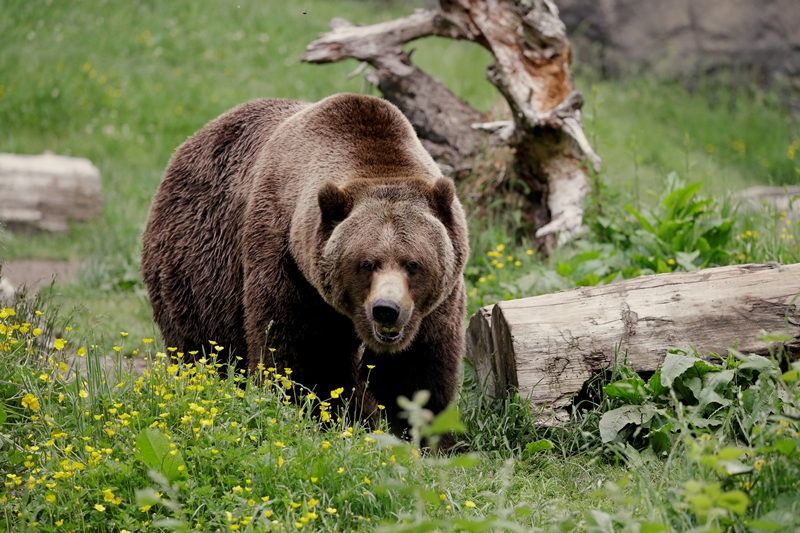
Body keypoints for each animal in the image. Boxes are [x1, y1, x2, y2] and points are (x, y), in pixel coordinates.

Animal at [141, 93, 472, 426]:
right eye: (366, 263)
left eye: (413, 264)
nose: (386, 310)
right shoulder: (288, 263)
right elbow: (301, 354)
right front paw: (319, 412)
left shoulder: (437, 303)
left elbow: (418, 369)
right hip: (199, 266)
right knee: (203, 345)